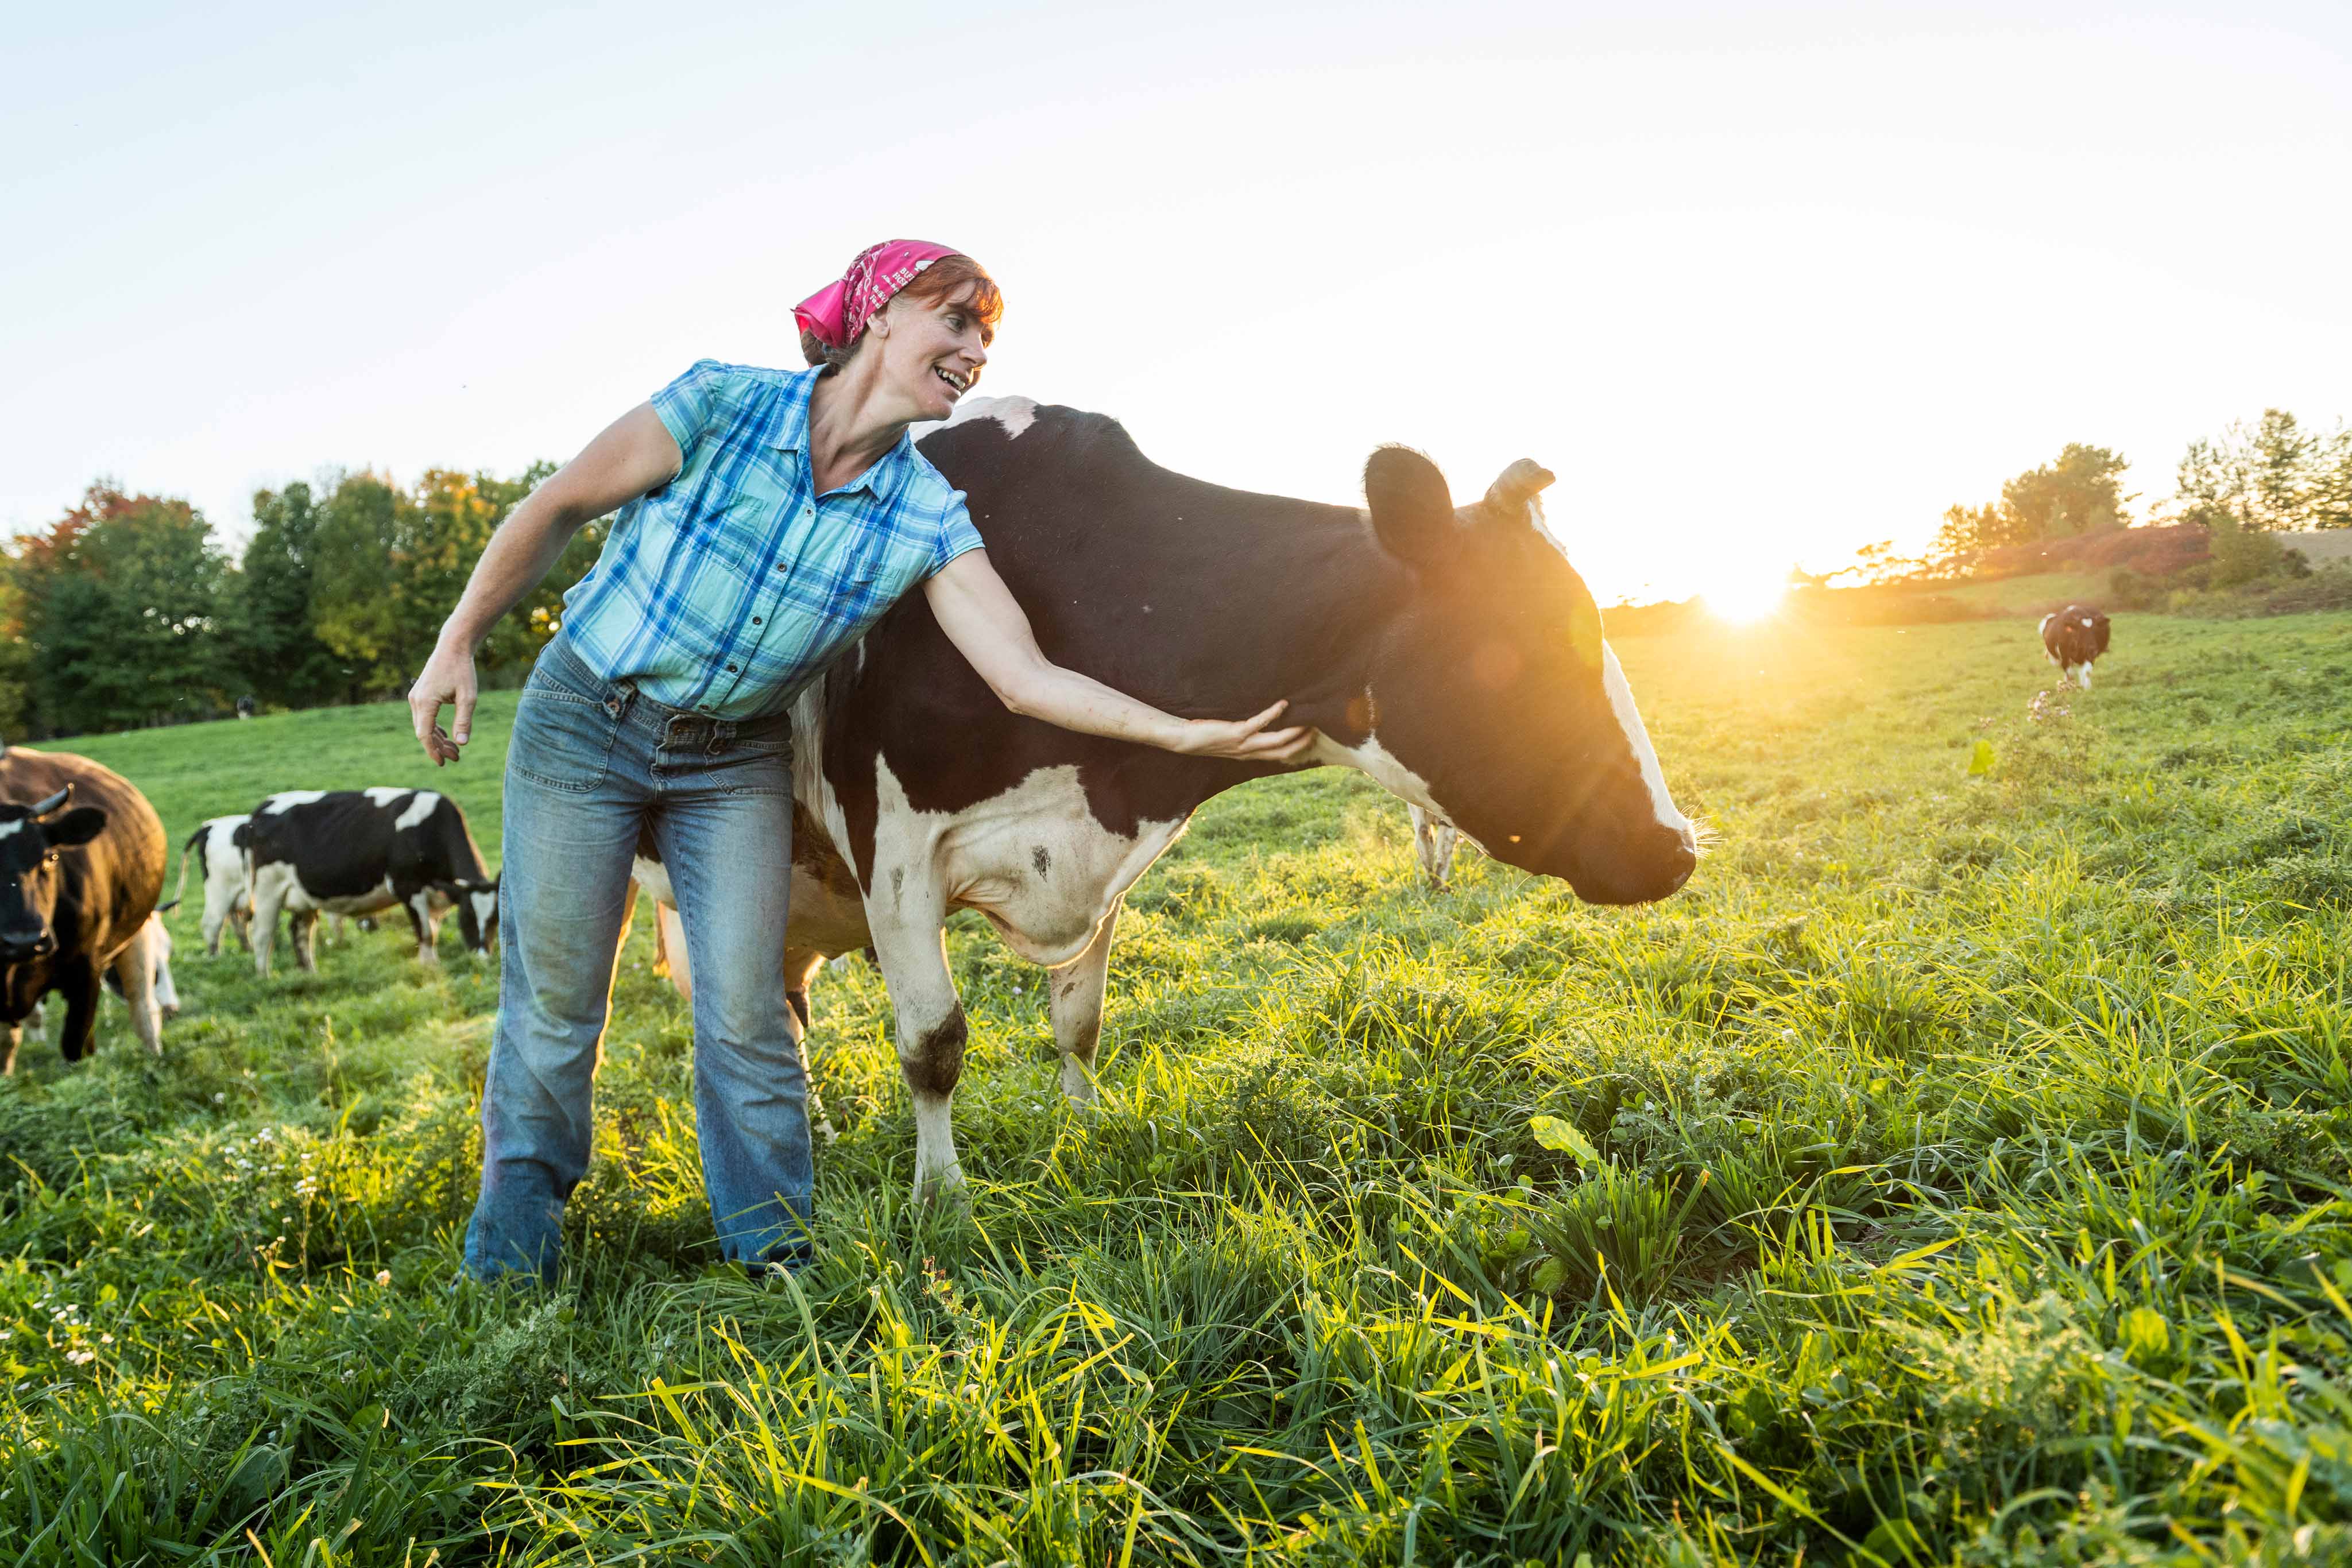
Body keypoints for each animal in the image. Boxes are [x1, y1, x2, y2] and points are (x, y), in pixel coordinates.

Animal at [0, 752, 170, 1081]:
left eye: (51, 857)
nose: (25, 941)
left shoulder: (86, 969)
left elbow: (74, 1046)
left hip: (137, 933)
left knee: (144, 1010)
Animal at [244, 789, 501, 973]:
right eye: (466, 917)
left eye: (495, 920)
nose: (482, 958)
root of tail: (263, 807)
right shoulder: (407, 886)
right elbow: (427, 933)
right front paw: (429, 968)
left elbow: (432, 931)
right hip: (267, 889)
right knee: (262, 934)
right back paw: (265, 979)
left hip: (302, 895)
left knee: (301, 932)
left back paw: (311, 976)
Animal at [625, 402, 1693, 1203]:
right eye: (1534, 646)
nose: (1676, 847)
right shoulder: (894, 857)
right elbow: (934, 1042)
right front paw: (942, 1198)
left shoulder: (1098, 866)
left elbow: (1080, 1023)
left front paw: (1085, 1131)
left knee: (782, 1011)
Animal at [2041, 602, 2117, 686]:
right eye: (2080, 631)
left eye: (2096, 630)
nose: (2093, 649)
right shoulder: (2065, 656)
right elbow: (2070, 673)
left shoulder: (2089, 657)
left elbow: (2087, 672)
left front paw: (2086, 686)